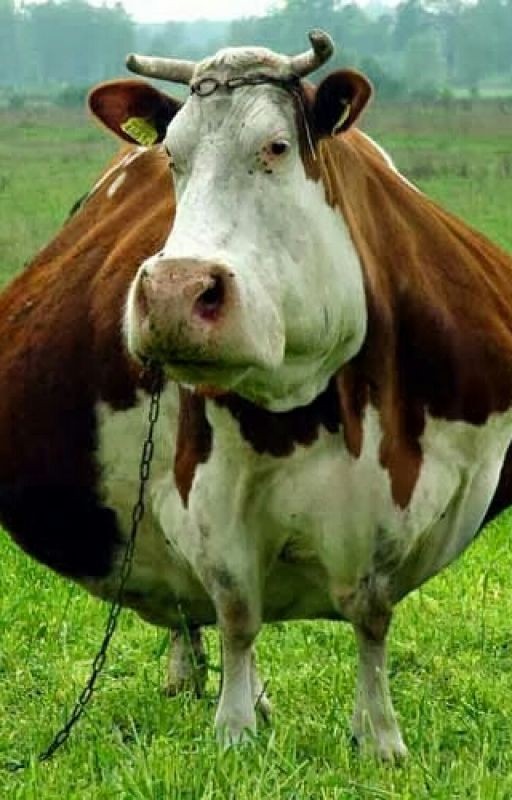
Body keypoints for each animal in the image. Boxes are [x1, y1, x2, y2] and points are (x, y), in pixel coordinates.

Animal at [2, 29, 512, 760]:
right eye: (171, 155)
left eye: (275, 147)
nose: (175, 291)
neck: (319, 403)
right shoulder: (206, 487)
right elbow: (237, 610)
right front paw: (236, 730)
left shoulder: (409, 484)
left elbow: (372, 611)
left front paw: (379, 737)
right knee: (196, 610)